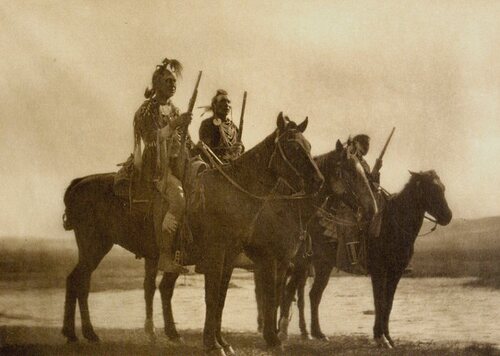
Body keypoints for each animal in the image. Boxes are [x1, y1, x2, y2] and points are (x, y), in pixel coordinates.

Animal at [278, 169, 454, 348]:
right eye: (432, 189)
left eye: (443, 188)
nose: (448, 217)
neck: (393, 225)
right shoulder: (379, 271)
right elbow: (379, 302)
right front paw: (380, 338)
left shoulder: (395, 273)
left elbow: (388, 303)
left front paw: (388, 338)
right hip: (302, 263)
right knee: (290, 291)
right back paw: (284, 333)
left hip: (323, 265)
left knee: (314, 295)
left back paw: (317, 333)